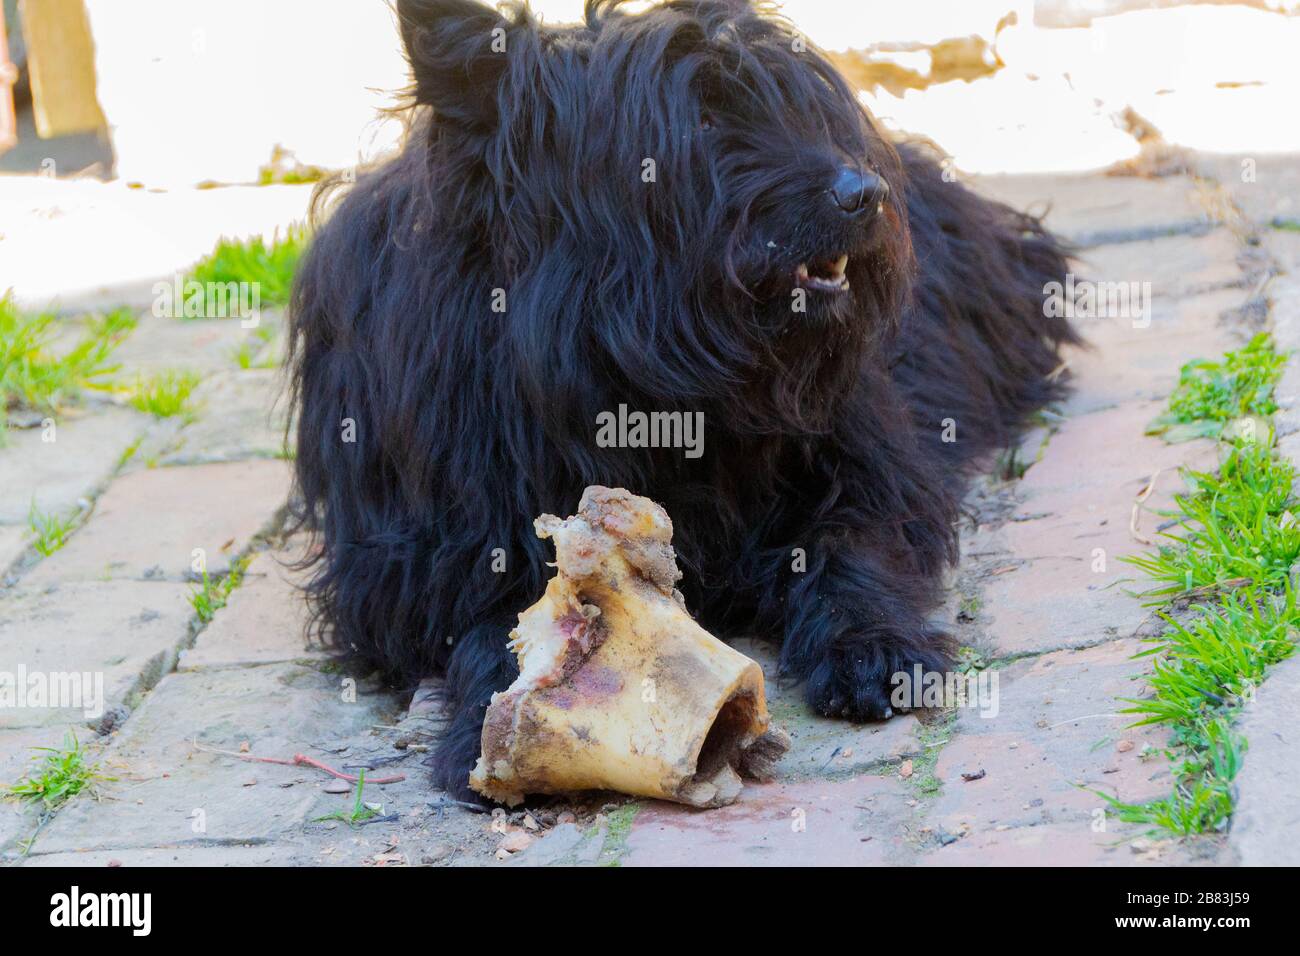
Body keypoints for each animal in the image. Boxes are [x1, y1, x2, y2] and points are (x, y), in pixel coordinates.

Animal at [292, 0, 1076, 796]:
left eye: (798, 106)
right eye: (697, 123)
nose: (865, 194)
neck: (648, 388)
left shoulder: (856, 455)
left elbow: (850, 542)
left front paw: (875, 643)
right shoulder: (426, 554)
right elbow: (480, 618)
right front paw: (492, 721)